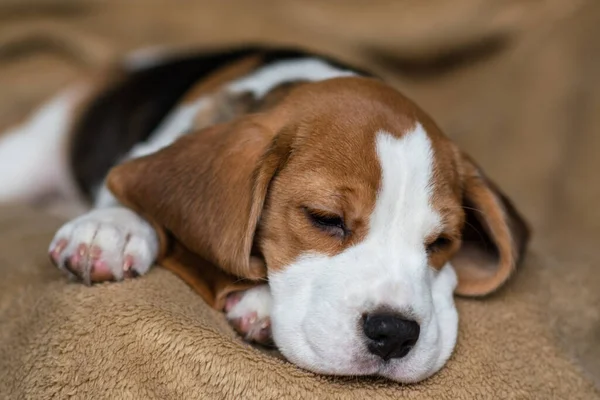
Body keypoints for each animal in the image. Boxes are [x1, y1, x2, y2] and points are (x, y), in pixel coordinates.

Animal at [0, 45, 528, 382]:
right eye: (324, 218)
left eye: (441, 243)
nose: (394, 334)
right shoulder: (149, 148)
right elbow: (124, 189)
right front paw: (111, 227)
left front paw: (260, 302)